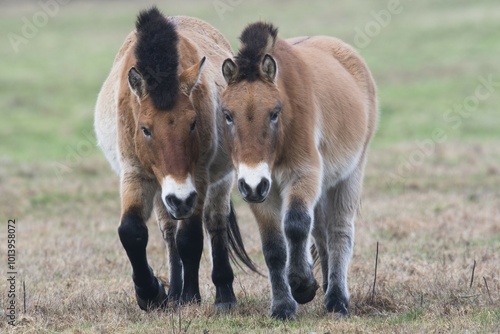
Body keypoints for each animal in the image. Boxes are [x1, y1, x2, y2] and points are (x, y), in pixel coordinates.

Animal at [94, 7, 258, 310]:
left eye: (192, 123)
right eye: (145, 129)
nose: (180, 199)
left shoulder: (199, 178)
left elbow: (191, 238)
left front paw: (191, 296)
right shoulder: (135, 174)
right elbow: (132, 232)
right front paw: (152, 293)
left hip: (219, 182)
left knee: (214, 224)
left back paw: (223, 295)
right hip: (163, 193)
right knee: (169, 232)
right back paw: (174, 293)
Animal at [221, 22, 376, 320]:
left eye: (274, 113)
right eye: (227, 115)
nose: (254, 184)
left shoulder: (303, 175)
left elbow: (295, 224)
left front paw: (302, 285)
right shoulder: (262, 195)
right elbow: (274, 248)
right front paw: (283, 306)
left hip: (350, 176)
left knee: (338, 232)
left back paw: (337, 300)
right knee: (321, 235)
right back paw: (326, 287)